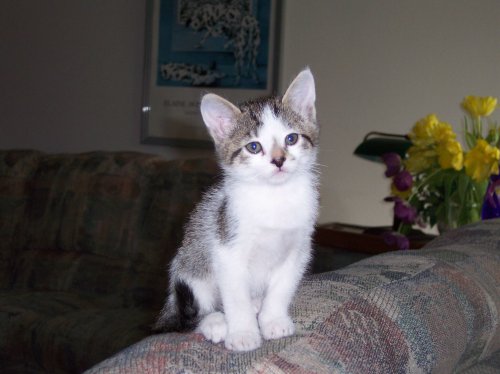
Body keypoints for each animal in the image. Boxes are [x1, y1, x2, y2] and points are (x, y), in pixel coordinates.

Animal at [154, 68, 318, 352]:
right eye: (254, 147)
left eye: (292, 138)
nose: (278, 160)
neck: (275, 198)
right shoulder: (227, 248)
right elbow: (235, 297)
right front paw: (243, 333)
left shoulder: (298, 248)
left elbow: (282, 286)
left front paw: (273, 319)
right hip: (190, 265)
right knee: (191, 313)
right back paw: (215, 322)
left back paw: (256, 304)